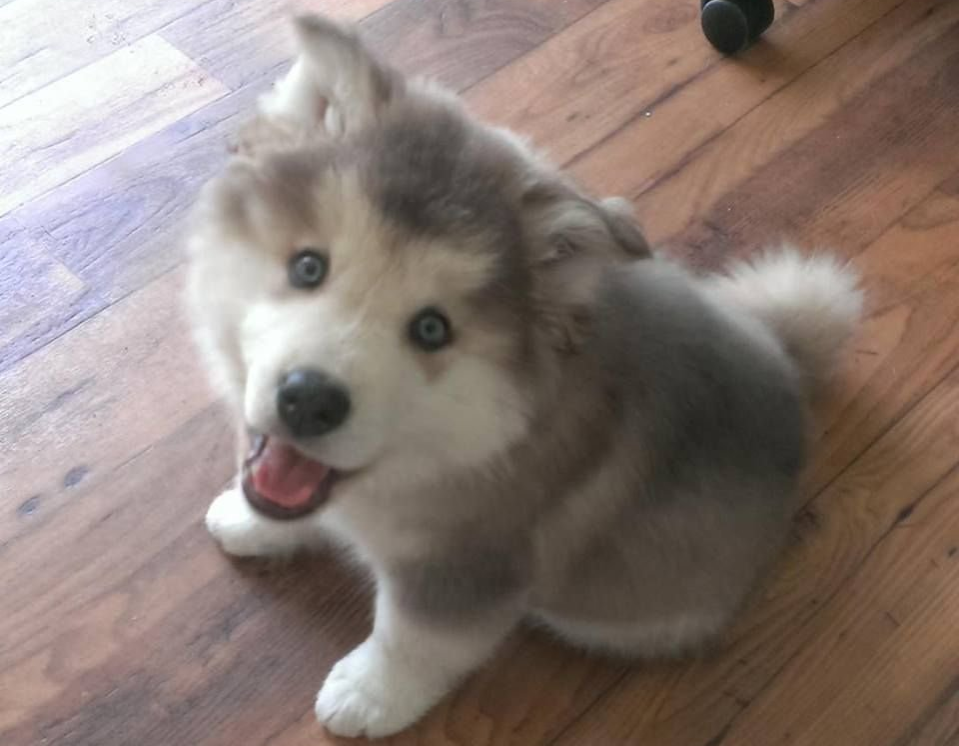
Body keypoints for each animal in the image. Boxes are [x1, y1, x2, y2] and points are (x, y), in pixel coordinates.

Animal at [186, 13, 864, 740]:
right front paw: (252, 523)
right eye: (308, 267)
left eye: (432, 330)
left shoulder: (467, 571)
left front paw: (369, 695)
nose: (308, 401)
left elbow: (413, 641)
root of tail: (786, 367)